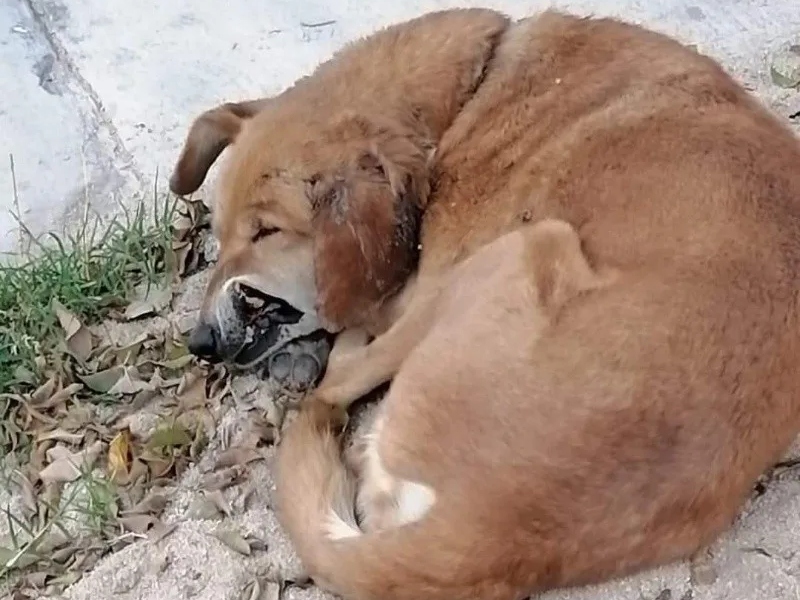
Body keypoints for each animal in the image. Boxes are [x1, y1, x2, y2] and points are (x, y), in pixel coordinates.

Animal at [172, 5, 800, 600]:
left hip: (521, 247)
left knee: (337, 384)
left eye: (267, 232)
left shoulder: (421, 287)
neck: (467, 96)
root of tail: (499, 536)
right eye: (220, 235)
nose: (199, 343)